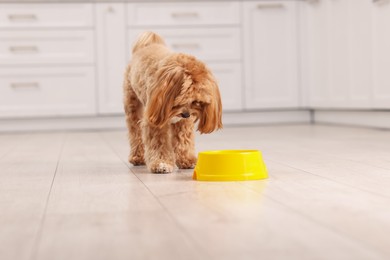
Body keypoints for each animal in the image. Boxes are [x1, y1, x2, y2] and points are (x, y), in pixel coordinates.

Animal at [125, 31, 222, 173]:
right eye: (183, 97)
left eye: (196, 101)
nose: (186, 114)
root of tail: (147, 45)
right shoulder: (154, 120)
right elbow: (158, 143)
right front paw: (161, 163)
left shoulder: (183, 123)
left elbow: (183, 142)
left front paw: (187, 160)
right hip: (132, 105)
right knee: (135, 133)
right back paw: (137, 157)